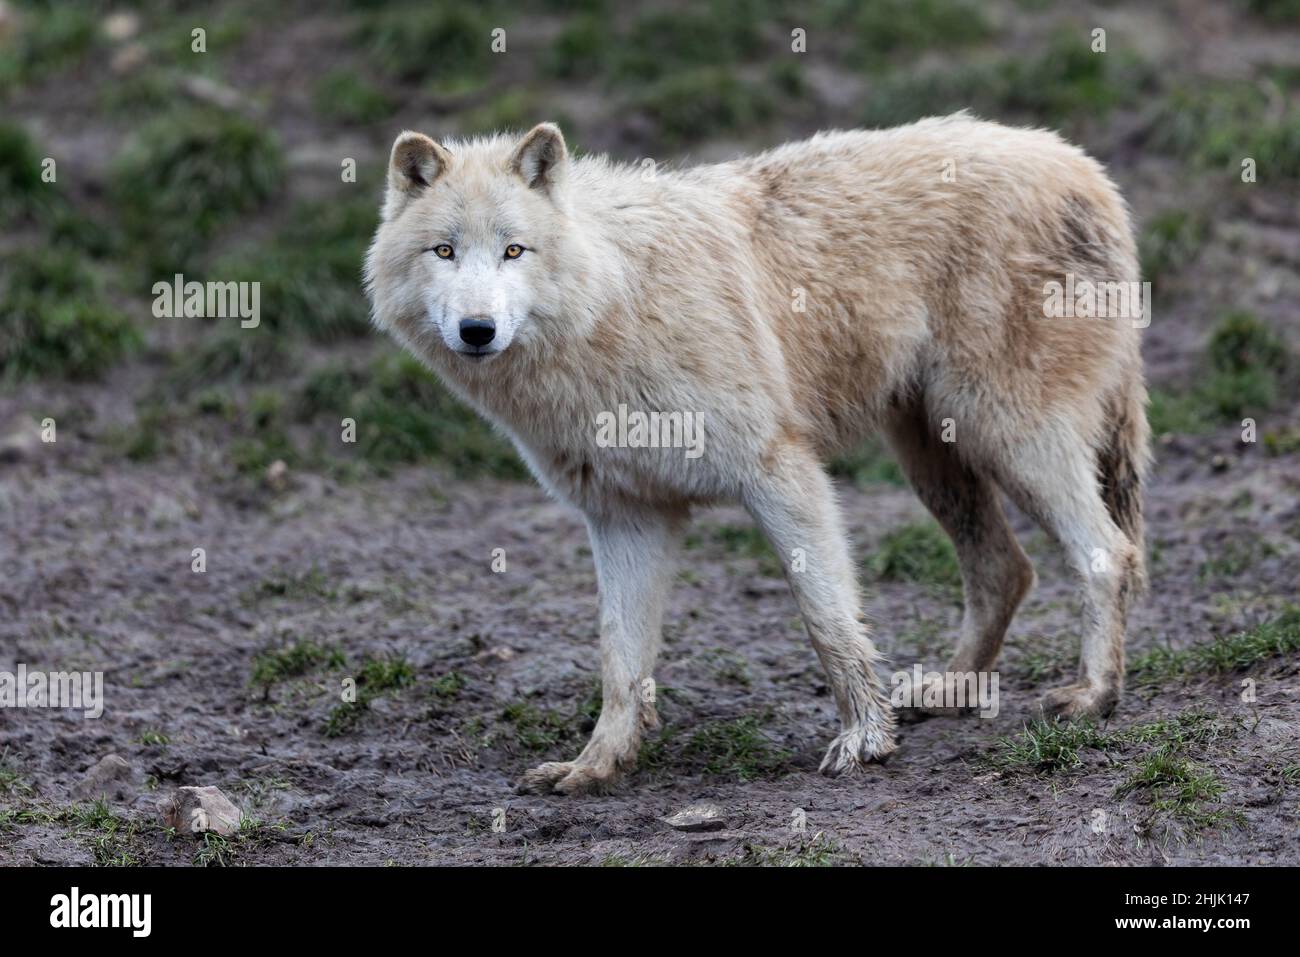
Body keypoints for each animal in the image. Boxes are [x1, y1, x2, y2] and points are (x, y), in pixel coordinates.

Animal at [364, 115, 1149, 795]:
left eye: (513, 250)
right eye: (444, 251)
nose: (477, 329)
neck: (613, 301)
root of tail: (1085, 167)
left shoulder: (780, 472)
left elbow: (828, 620)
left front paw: (865, 741)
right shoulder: (626, 516)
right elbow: (619, 659)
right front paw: (598, 764)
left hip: (1009, 434)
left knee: (1109, 553)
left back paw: (1093, 696)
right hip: (935, 454)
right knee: (1005, 568)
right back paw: (953, 689)